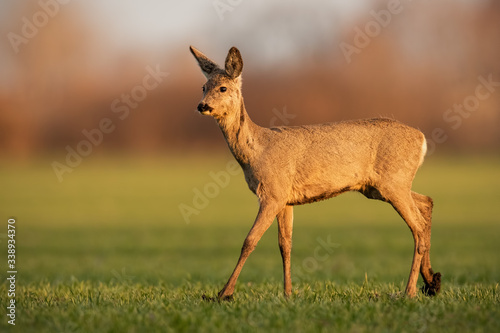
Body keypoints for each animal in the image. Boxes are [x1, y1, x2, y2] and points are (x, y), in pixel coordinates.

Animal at [190, 44, 442, 298]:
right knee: (426, 203)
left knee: (418, 226)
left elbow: (249, 240)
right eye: (203, 87)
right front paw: (288, 293)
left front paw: (223, 294)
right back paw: (432, 281)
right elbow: (285, 244)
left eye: (223, 88)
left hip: (393, 181)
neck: (256, 150)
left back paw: (409, 291)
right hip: (379, 187)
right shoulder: (285, 199)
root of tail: (422, 139)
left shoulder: (273, 192)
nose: (202, 106)